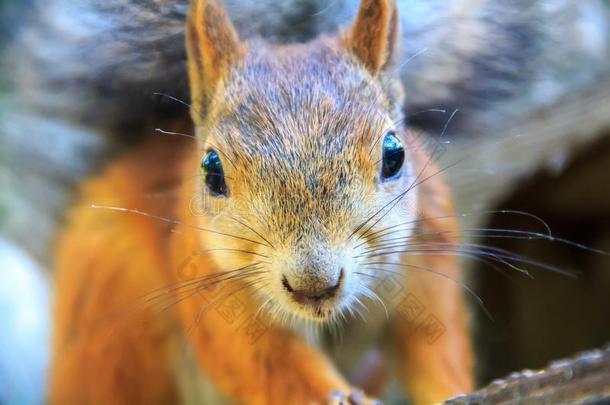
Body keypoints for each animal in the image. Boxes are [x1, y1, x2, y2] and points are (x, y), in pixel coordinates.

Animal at [50, 0, 472, 404]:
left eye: (394, 154)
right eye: (212, 171)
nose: (313, 285)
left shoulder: (427, 266)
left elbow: (435, 348)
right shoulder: (216, 292)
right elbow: (265, 365)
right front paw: (336, 397)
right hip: (114, 322)